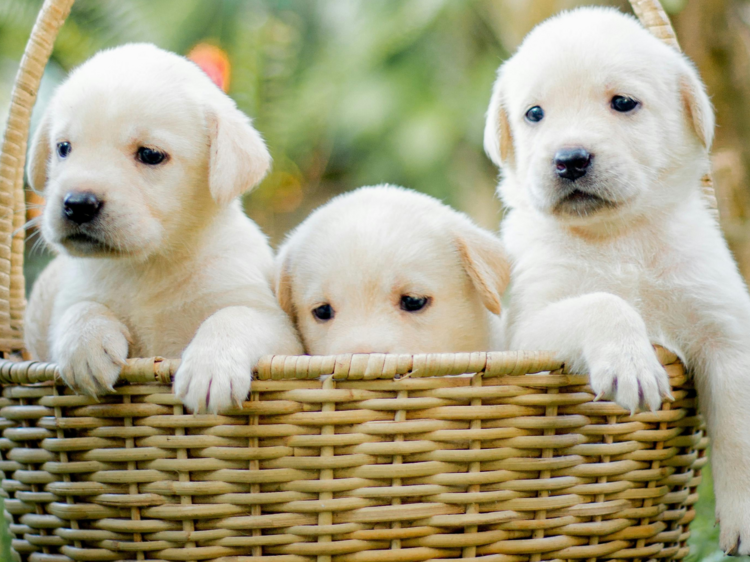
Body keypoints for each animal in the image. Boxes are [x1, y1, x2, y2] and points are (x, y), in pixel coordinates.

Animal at [26, 42, 302, 412]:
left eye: (151, 155)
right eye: (63, 148)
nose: (78, 204)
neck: (148, 268)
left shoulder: (277, 327)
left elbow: (232, 316)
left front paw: (211, 367)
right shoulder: (72, 296)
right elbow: (78, 309)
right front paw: (85, 345)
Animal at [484, 7, 748, 552]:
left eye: (623, 103)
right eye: (534, 113)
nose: (570, 159)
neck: (618, 237)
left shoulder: (726, 329)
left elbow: (739, 431)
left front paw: (742, 518)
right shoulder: (525, 332)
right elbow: (604, 300)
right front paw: (633, 364)